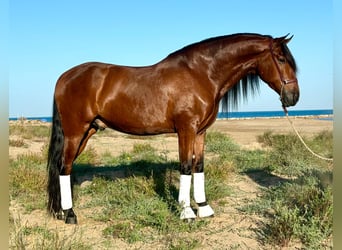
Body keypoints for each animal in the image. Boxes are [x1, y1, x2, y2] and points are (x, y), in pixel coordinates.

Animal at [46, 33, 298, 225]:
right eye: (280, 59)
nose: (293, 97)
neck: (201, 74)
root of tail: (64, 77)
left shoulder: (200, 132)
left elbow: (199, 166)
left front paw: (204, 208)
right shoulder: (186, 129)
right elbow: (185, 166)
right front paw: (186, 212)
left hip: (88, 131)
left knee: (62, 167)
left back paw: (60, 210)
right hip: (75, 132)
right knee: (64, 167)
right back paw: (70, 214)